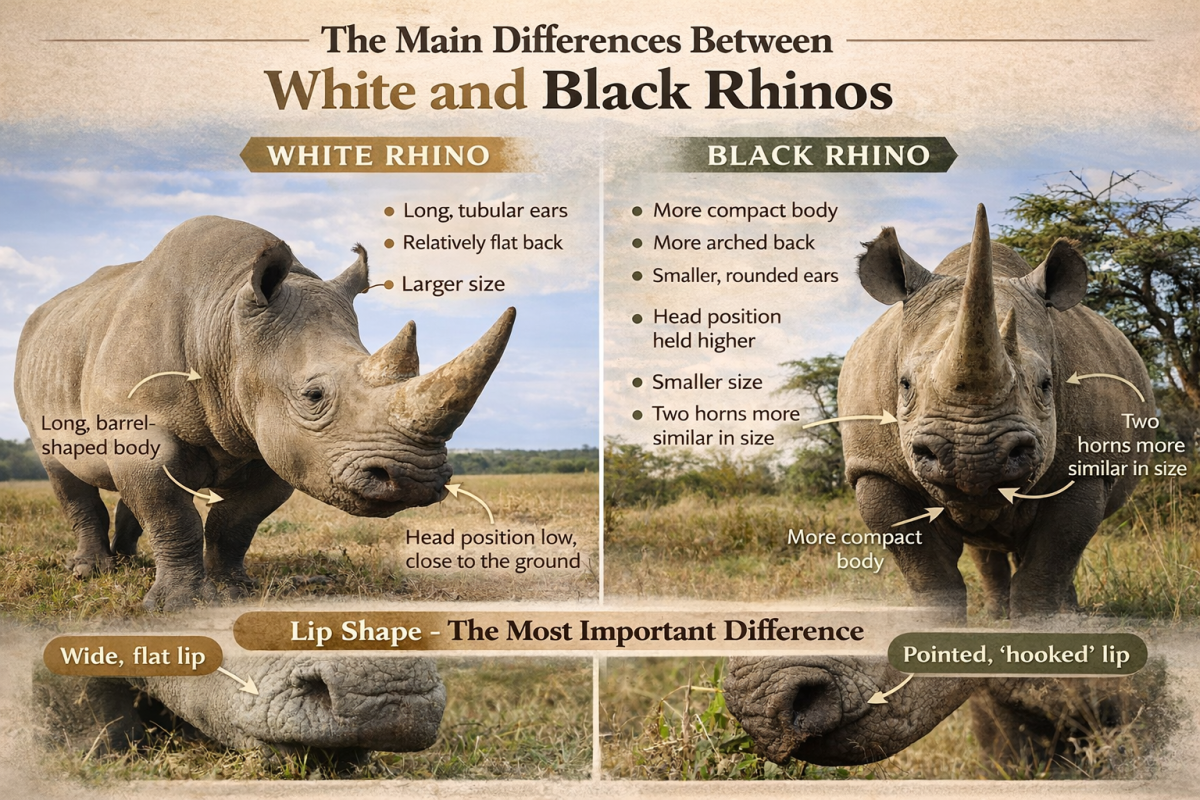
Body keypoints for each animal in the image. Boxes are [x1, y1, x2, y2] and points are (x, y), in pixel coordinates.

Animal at [14, 216, 514, 610]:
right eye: (313, 395)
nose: (414, 479)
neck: (224, 326)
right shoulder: (144, 426)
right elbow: (172, 514)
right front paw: (179, 606)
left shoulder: (273, 443)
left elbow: (236, 522)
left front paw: (234, 591)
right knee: (62, 471)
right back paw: (91, 571)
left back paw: (129, 561)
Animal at [841, 205, 1153, 618]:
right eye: (904, 385)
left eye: (1046, 385)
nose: (973, 457)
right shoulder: (874, 468)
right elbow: (929, 575)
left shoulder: (1088, 467)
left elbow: (1050, 563)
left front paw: (1040, 623)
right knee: (985, 544)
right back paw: (994, 614)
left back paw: (1066, 614)